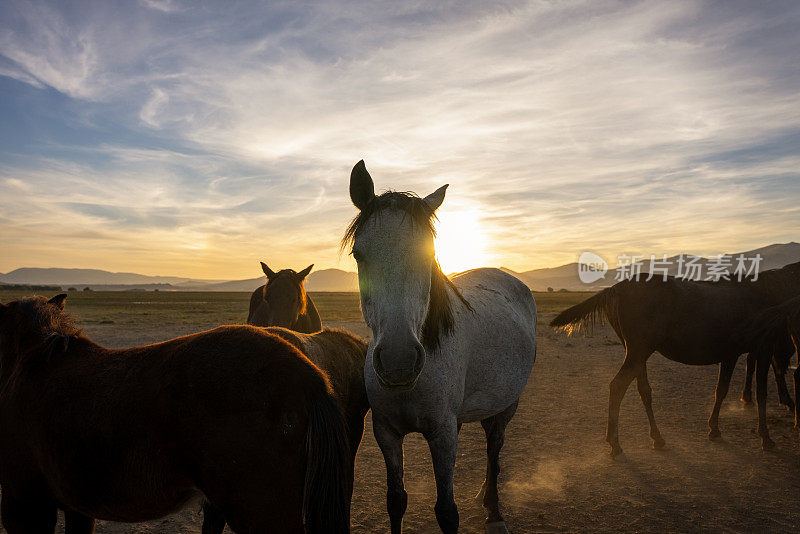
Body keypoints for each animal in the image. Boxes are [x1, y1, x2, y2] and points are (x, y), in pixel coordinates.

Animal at [344, 162, 536, 534]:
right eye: (359, 255)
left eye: (430, 254)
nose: (399, 362)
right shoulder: (386, 432)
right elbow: (396, 501)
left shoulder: (443, 435)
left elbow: (447, 510)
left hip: (507, 405)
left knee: (494, 450)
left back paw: (494, 511)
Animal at [552, 262, 800, 458]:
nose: (791, 403)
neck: (771, 292)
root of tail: (616, 289)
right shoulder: (763, 348)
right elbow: (761, 393)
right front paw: (766, 437)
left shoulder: (731, 353)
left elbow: (722, 389)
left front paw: (714, 428)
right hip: (638, 351)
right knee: (618, 386)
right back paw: (615, 443)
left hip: (636, 353)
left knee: (644, 390)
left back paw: (657, 438)